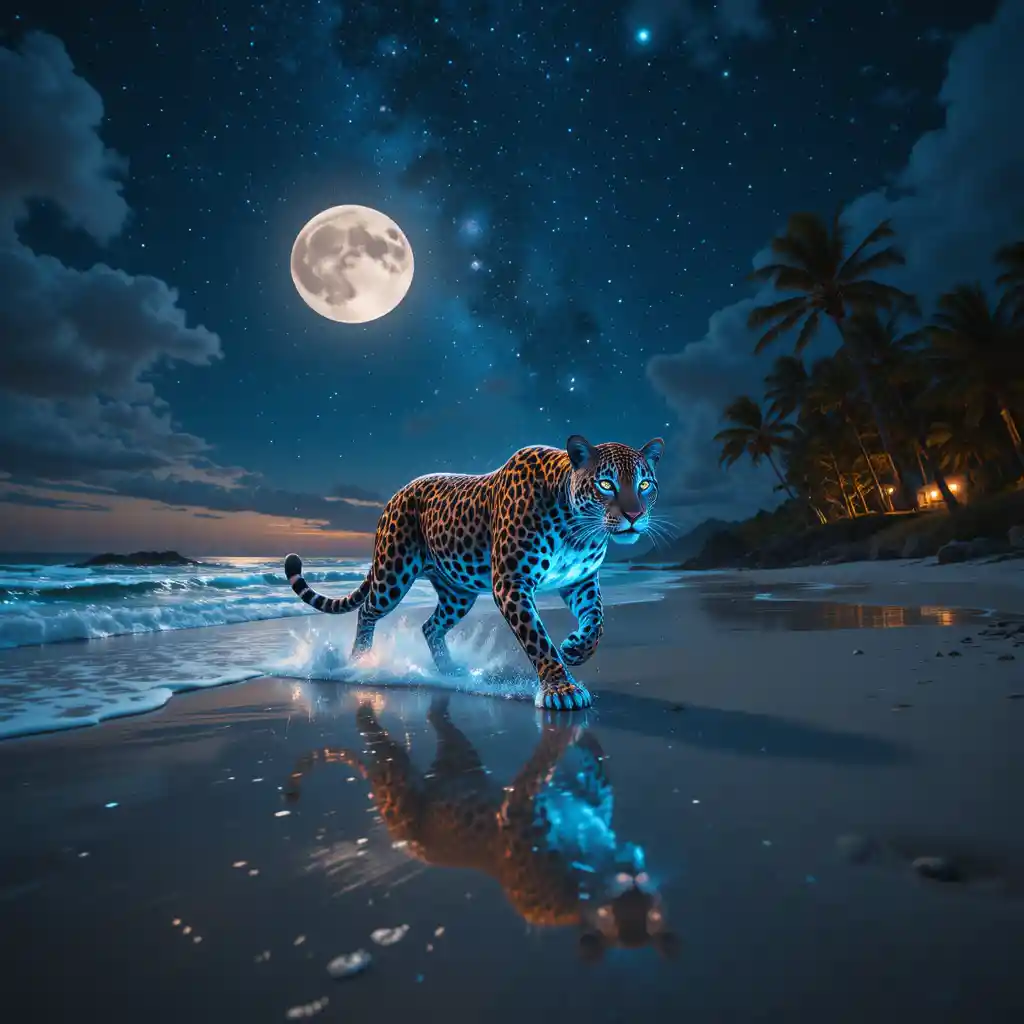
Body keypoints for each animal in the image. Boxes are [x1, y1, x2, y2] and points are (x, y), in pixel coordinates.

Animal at [284, 434, 665, 710]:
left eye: (645, 485)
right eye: (606, 484)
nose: (634, 515)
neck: (578, 530)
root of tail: (395, 495)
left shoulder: (580, 581)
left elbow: (597, 619)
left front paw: (576, 648)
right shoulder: (512, 583)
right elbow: (538, 639)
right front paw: (562, 688)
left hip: (458, 593)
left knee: (430, 625)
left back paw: (450, 671)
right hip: (393, 573)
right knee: (367, 610)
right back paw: (359, 662)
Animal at [284, 695, 677, 960]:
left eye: (653, 914)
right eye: (611, 916)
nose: (632, 887)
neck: (590, 862)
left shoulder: (591, 802)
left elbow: (595, 774)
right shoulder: (518, 816)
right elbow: (538, 776)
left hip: (460, 758)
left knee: (435, 719)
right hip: (396, 786)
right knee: (374, 735)